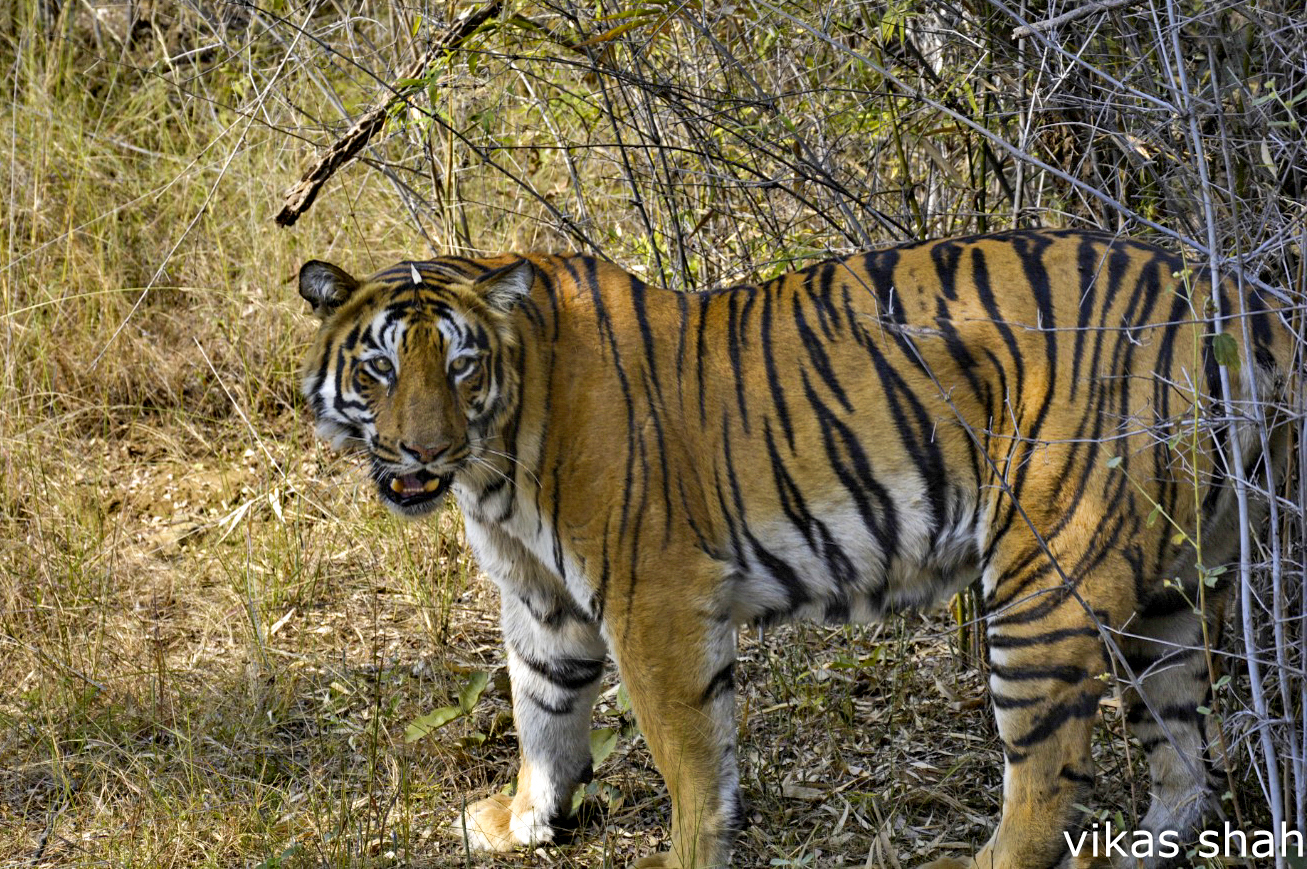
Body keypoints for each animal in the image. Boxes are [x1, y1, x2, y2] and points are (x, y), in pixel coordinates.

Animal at [296, 228, 1292, 869]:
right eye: (379, 368)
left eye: (459, 366)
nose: (421, 451)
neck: (494, 458)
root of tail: (1245, 301)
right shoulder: (541, 597)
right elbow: (540, 705)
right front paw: (525, 818)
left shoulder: (653, 600)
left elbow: (689, 757)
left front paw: (686, 855)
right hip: (1174, 588)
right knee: (1183, 764)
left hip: (1043, 584)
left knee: (1045, 789)